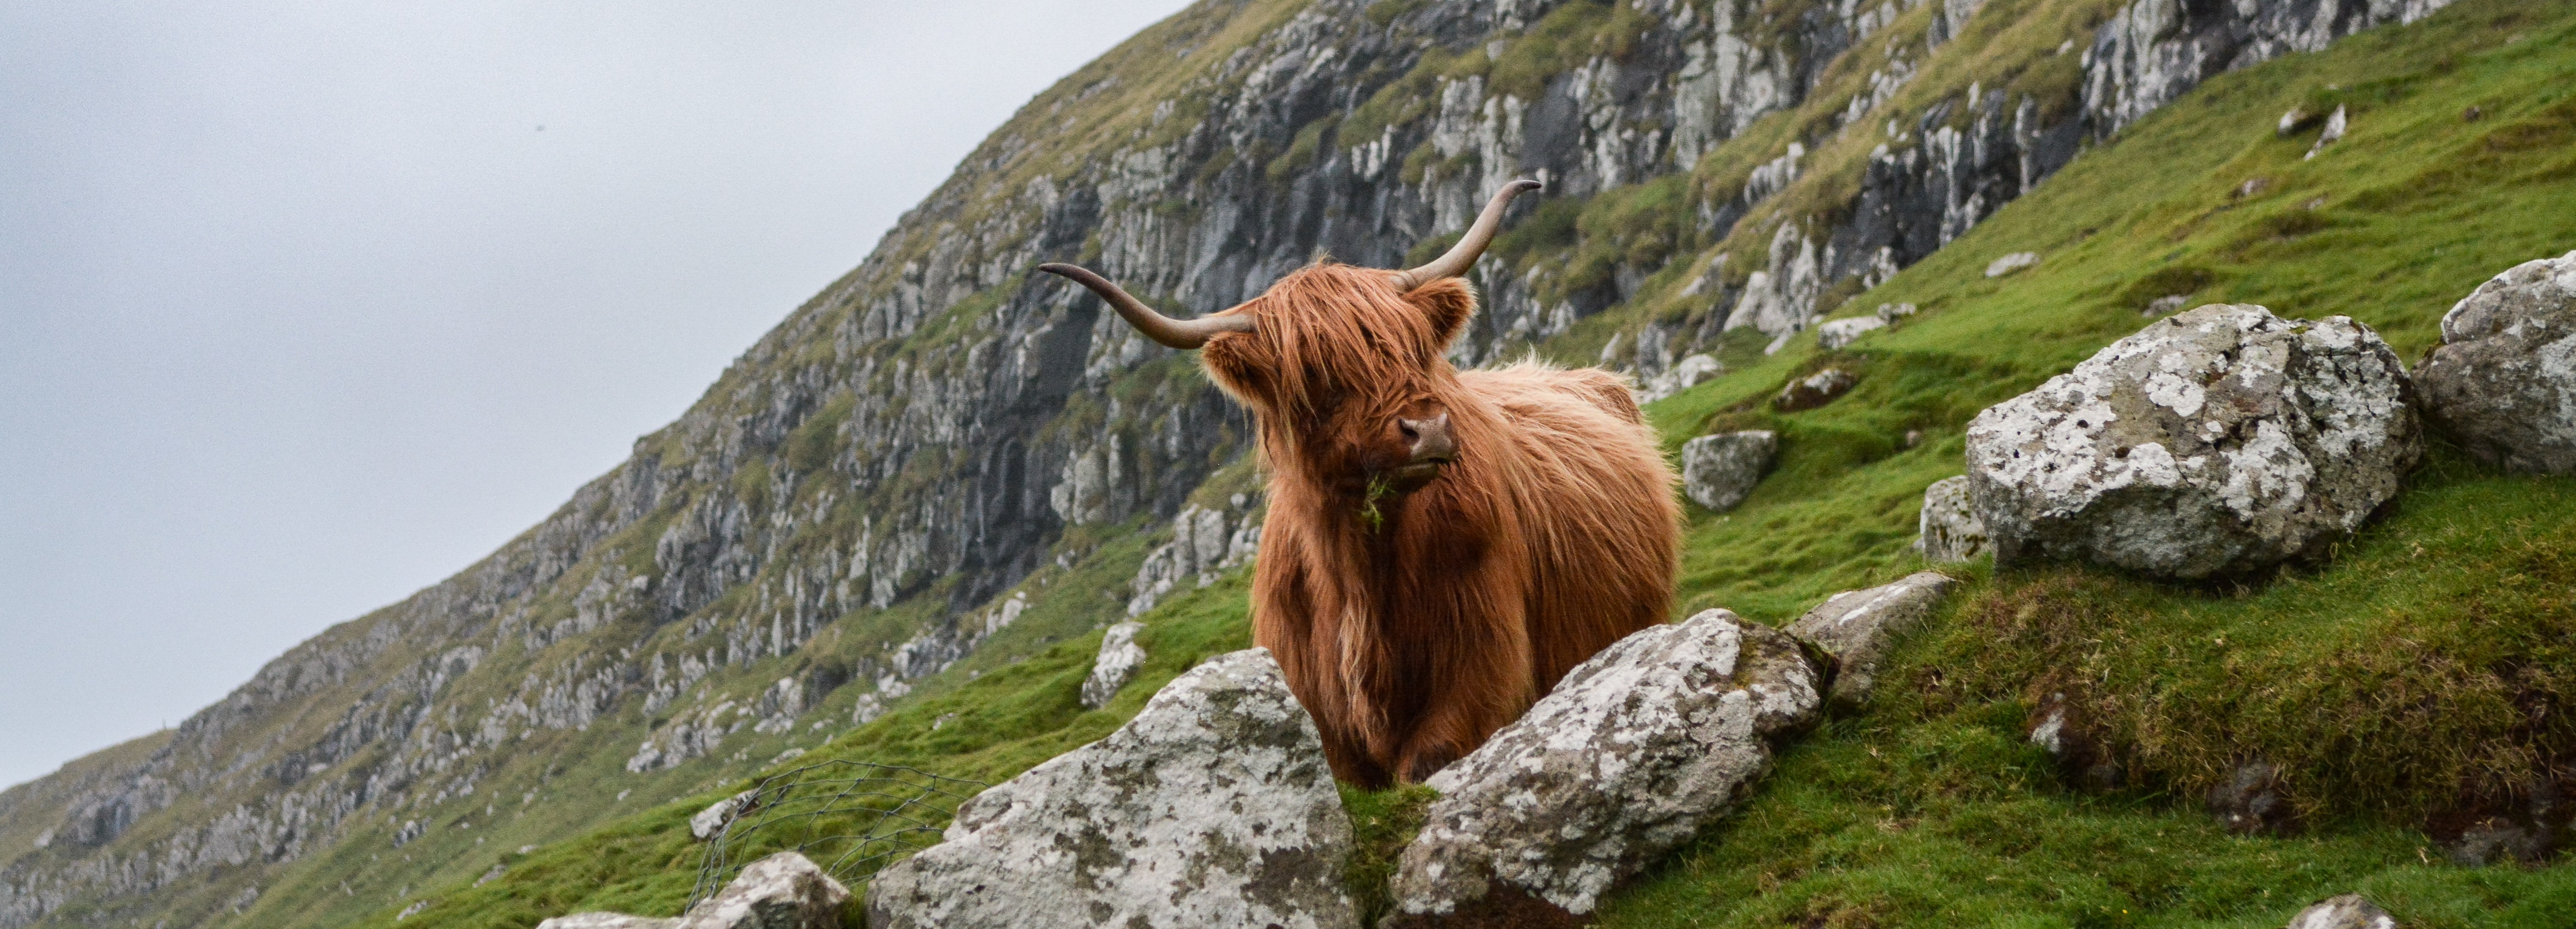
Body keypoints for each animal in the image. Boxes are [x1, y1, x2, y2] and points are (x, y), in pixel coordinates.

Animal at [1035, 182, 1679, 787]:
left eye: (1415, 348)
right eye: (1317, 374)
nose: (1429, 430)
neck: (1360, 580)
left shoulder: (1480, 671)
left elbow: (1428, 760)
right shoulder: (1321, 717)